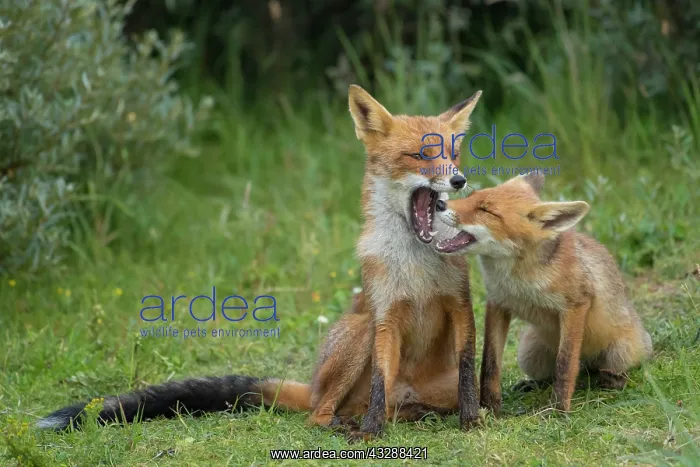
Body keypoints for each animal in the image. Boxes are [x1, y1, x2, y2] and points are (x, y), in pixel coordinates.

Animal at [36, 85, 484, 439]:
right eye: (420, 155)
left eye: (453, 154)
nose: (459, 180)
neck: (418, 265)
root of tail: (311, 386)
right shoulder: (385, 316)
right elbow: (378, 383)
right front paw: (372, 433)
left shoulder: (459, 305)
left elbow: (467, 370)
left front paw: (471, 420)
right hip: (360, 331)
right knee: (320, 413)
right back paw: (346, 423)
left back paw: (416, 414)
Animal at [432, 172, 653, 413]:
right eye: (470, 196)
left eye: (486, 211)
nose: (439, 203)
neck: (517, 280)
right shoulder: (497, 303)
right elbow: (490, 362)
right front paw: (489, 407)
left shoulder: (576, 305)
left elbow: (566, 363)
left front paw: (559, 410)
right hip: (529, 353)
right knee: (550, 375)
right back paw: (532, 384)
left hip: (619, 353)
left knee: (602, 370)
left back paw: (610, 381)